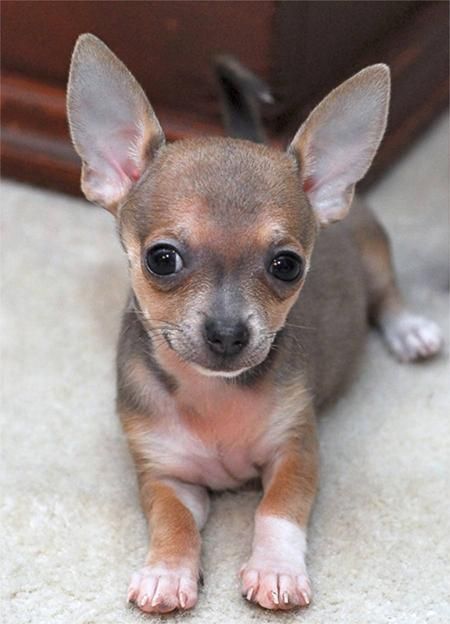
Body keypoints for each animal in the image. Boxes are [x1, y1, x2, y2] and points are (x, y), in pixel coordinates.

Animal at [67, 35, 442, 616]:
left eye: (286, 265)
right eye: (161, 259)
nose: (227, 334)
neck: (212, 395)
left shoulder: (296, 451)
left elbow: (277, 511)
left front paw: (275, 569)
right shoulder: (165, 475)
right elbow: (173, 521)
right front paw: (166, 571)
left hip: (375, 255)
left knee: (388, 295)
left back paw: (410, 331)